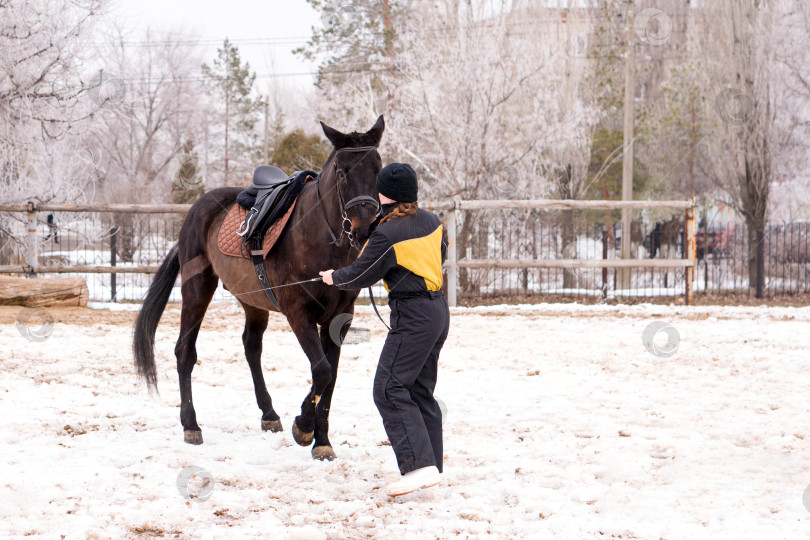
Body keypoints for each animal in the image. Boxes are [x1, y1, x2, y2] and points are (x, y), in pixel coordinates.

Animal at [133, 117, 386, 460]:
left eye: (378, 168)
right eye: (342, 172)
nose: (364, 228)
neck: (320, 237)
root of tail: (198, 209)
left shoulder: (340, 318)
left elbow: (329, 378)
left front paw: (322, 441)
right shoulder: (298, 313)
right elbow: (321, 370)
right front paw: (304, 428)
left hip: (252, 301)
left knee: (251, 347)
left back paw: (269, 413)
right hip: (197, 288)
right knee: (185, 350)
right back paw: (191, 425)